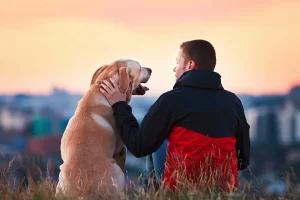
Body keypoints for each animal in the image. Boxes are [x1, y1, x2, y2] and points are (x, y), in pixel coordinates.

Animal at [55, 59, 152, 198]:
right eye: (139, 68)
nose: (150, 70)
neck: (100, 91)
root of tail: (82, 193)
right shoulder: (120, 149)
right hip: (116, 171)